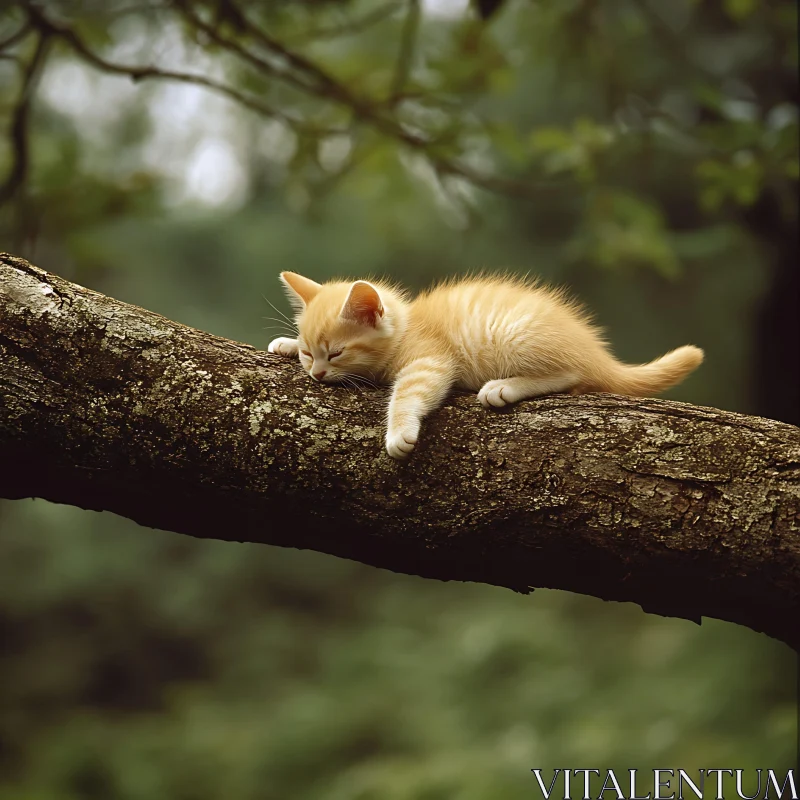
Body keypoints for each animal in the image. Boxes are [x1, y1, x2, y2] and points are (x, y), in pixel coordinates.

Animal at [268, 272, 700, 460]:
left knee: (573, 374)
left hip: (511, 333)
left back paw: (503, 387)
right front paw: (282, 344)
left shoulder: (431, 359)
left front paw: (399, 432)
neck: (408, 325)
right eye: (309, 353)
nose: (317, 373)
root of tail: (596, 351)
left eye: (335, 353)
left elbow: (409, 391)